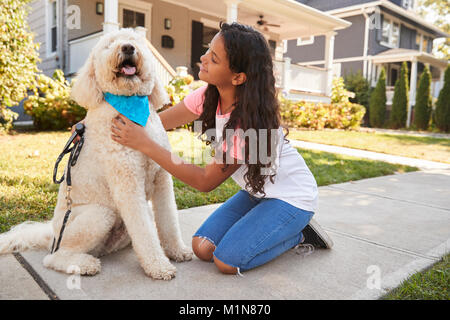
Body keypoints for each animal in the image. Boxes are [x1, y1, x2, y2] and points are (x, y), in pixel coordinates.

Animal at [0, 29, 192, 280]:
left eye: (136, 40)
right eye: (109, 44)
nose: (128, 47)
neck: (130, 107)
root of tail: (52, 235)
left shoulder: (161, 179)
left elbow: (169, 220)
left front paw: (176, 250)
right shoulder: (128, 184)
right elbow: (145, 231)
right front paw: (158, 265)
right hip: (98, 215)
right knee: (54, 258)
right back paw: (83, 264)